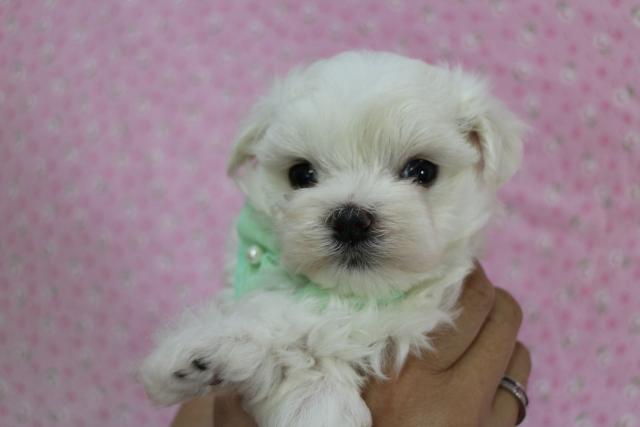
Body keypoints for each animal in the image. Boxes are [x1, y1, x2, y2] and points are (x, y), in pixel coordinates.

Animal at [139, 51, 524, 427]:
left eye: (422, 171)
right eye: (301, 174)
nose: (351, 221)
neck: (350, 295)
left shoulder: (421, 309)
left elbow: (334, 333)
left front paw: (316, 402)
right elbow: (285, 319)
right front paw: (205, 354)